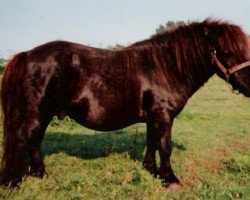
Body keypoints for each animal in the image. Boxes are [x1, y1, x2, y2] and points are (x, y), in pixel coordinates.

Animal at [1, 18, 250, 188]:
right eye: (229, 51)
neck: (166, 67)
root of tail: (27, 54)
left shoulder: (153, 116)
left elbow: (152, 142)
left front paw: (151, 170)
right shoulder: (163, 115)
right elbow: (165, 146)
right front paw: (170, 180)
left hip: (44, 113)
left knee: (35, 140)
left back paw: (39, 174)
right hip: (37, 113)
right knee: (25, 138)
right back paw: (15, 181)